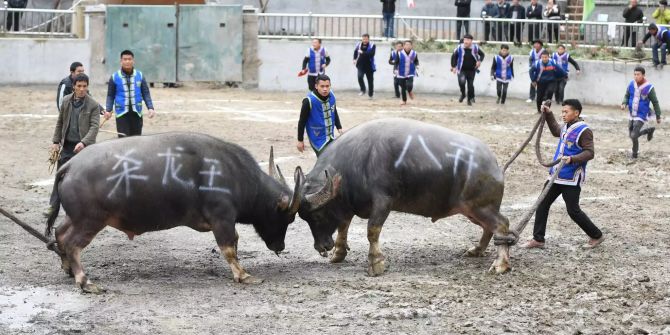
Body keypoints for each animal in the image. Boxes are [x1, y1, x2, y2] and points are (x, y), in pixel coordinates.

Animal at [48, 133, 306, 292]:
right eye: (288, 217)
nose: (280, 246)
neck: (234, 174)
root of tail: (69, 166)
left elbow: (234, 244)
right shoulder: (222, 218)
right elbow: (229, 248)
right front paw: (243, 275)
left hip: (75, 218)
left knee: (59, 234)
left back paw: (68, 269)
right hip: (90, 221)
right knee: (72, 244)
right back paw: (84, 281)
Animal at [300, 118, 516, 276]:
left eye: (317, 215)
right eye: (305, 218)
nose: (321, 246)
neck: (354, 163)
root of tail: (494, 164)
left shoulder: (383, 201)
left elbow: (372, 231)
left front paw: (376, 264)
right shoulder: (348, 206)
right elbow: (343, 226)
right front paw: (338, 254)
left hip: (479, 207)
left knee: (501, 225)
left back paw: (500, 265)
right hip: (470, 210)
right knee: (490, 228)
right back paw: (477, 250)